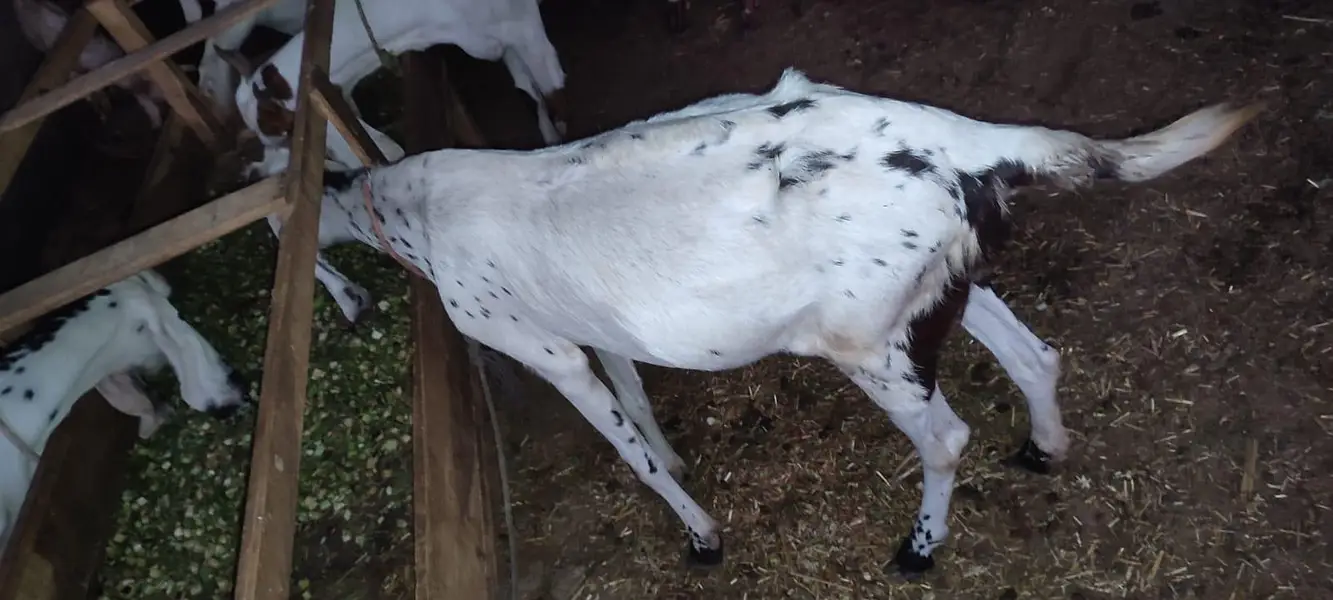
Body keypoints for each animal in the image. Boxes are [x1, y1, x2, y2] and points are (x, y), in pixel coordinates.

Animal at [292, 68, 1257, 575]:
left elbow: (630, 452)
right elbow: (637, 397)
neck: (417, 213)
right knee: (1036, 356)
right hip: (938, 287)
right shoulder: (595, 323)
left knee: (946, 437)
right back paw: (1044, 447)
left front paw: (701, 535)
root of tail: (966, 140)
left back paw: (919, 546)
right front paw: (681, 462)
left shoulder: (541, 344)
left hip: (866, 341)